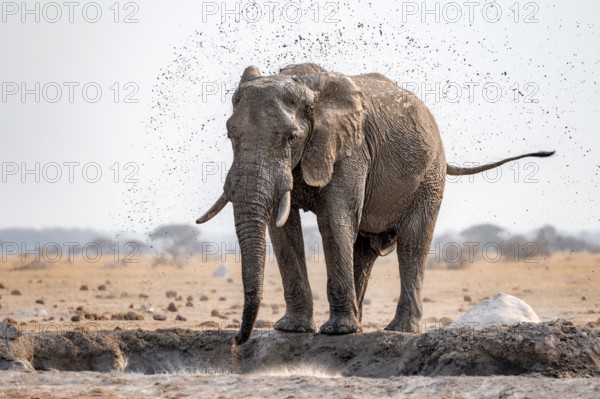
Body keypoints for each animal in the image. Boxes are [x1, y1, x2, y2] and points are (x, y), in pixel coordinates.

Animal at [196, 64, 552, 346]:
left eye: (291, 137)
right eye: (230, 135)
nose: (237, 340)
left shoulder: (350, 148)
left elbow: (334, 219)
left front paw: (336, 332)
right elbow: (283, 229)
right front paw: (293, 330)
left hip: (429, 178)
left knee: (412, 244)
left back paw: (396, 330)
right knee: (364, 249)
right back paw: (360, 323)